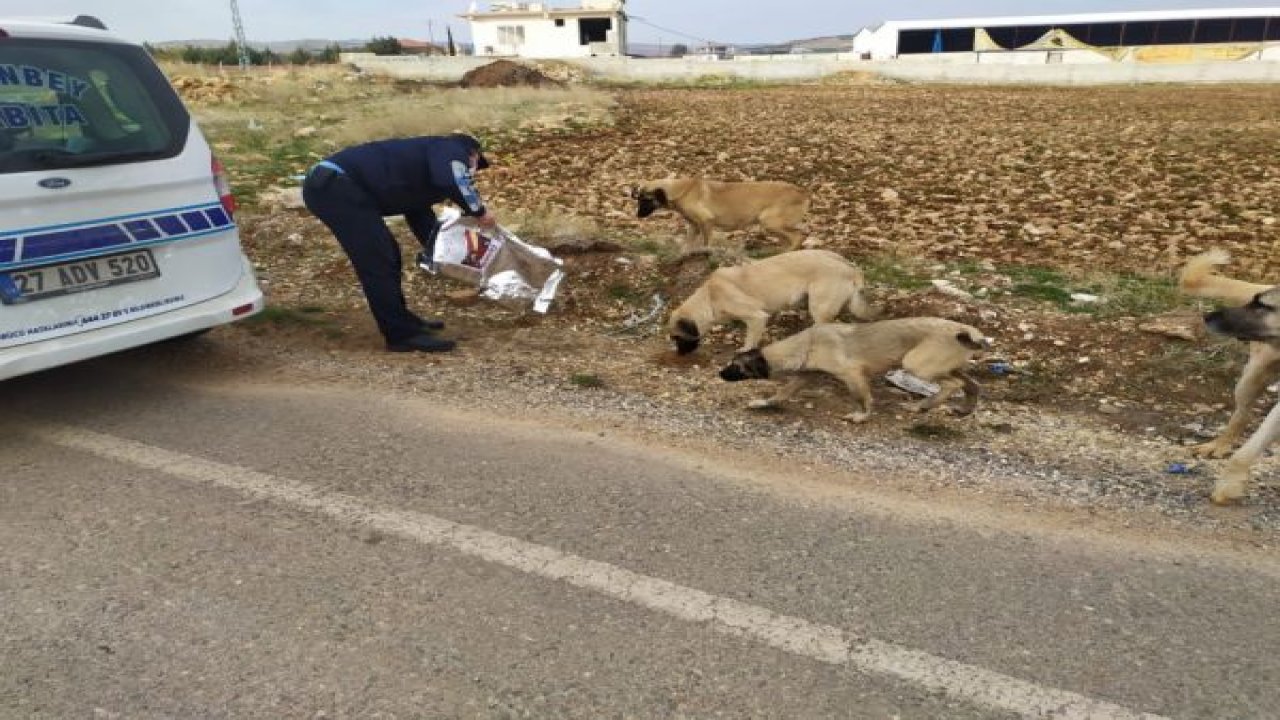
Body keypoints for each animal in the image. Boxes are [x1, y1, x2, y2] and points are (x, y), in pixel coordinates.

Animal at [629, 176, 808, 252]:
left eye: (646, 200)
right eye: (639, 199)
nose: (638, 216)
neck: (681, 190)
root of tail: (802, 192)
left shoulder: (706, 222)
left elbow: (706, 244)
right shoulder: (694, 226)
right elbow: (687, 245)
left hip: (769, 222)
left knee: (798, 237)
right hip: (772, 226)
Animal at [665, 248, 875, 353]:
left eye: (677, 338)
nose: (679, 354)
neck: (709, 297)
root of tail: (850, 267)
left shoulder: (756, 317)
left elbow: (750, 340)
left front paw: (745, 350)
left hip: (819, 308)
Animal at [721, 317, 988, 422]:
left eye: (736, 366)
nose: (719, 374)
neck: (806, 344)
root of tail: (967, 330)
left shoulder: (853, 374)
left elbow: (863, 399)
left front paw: (860, 416)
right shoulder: (805, 377)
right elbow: (781, 394)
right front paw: (763, 403)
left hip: (915, 364)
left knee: (953, 385)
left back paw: (922, 405)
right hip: (947, 367)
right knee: (973, 385)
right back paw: (964, 409)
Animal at [1177, 249, 1280, 502]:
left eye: (1262, 306)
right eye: (1254, 301)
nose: (1208, 316)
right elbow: (1246, 452)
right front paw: (1229, 485)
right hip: (1251, 378)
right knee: (1240, 416)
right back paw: (1219, 445)